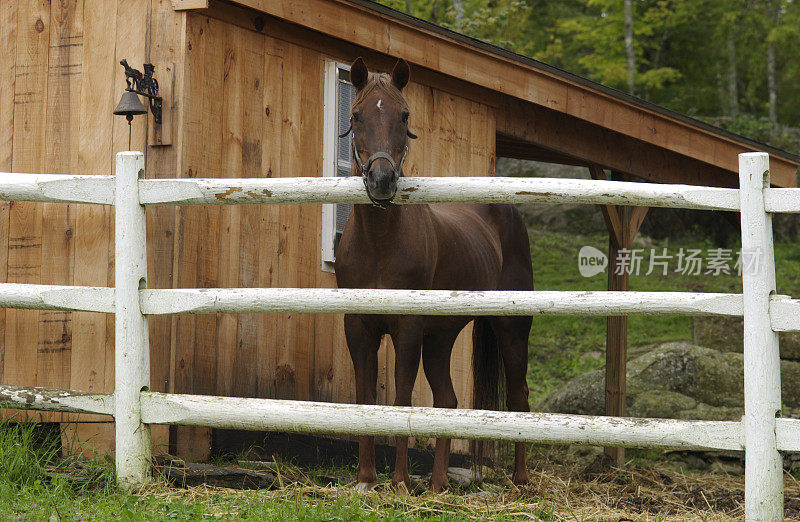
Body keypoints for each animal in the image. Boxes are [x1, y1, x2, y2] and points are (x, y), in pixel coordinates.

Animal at [334, 58, 536, 492]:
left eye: (404, 115)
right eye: (356, 115)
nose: (381, 181)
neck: (380, 243)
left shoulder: (408, 327)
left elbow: (401, 398)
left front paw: (397, 481)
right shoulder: (358, 326)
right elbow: (364, 400)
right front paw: (365, 479)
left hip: (511, 329)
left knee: (519, 397)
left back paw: (520, 479)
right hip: (441, 336)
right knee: (447, 401)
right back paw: (439, 482)